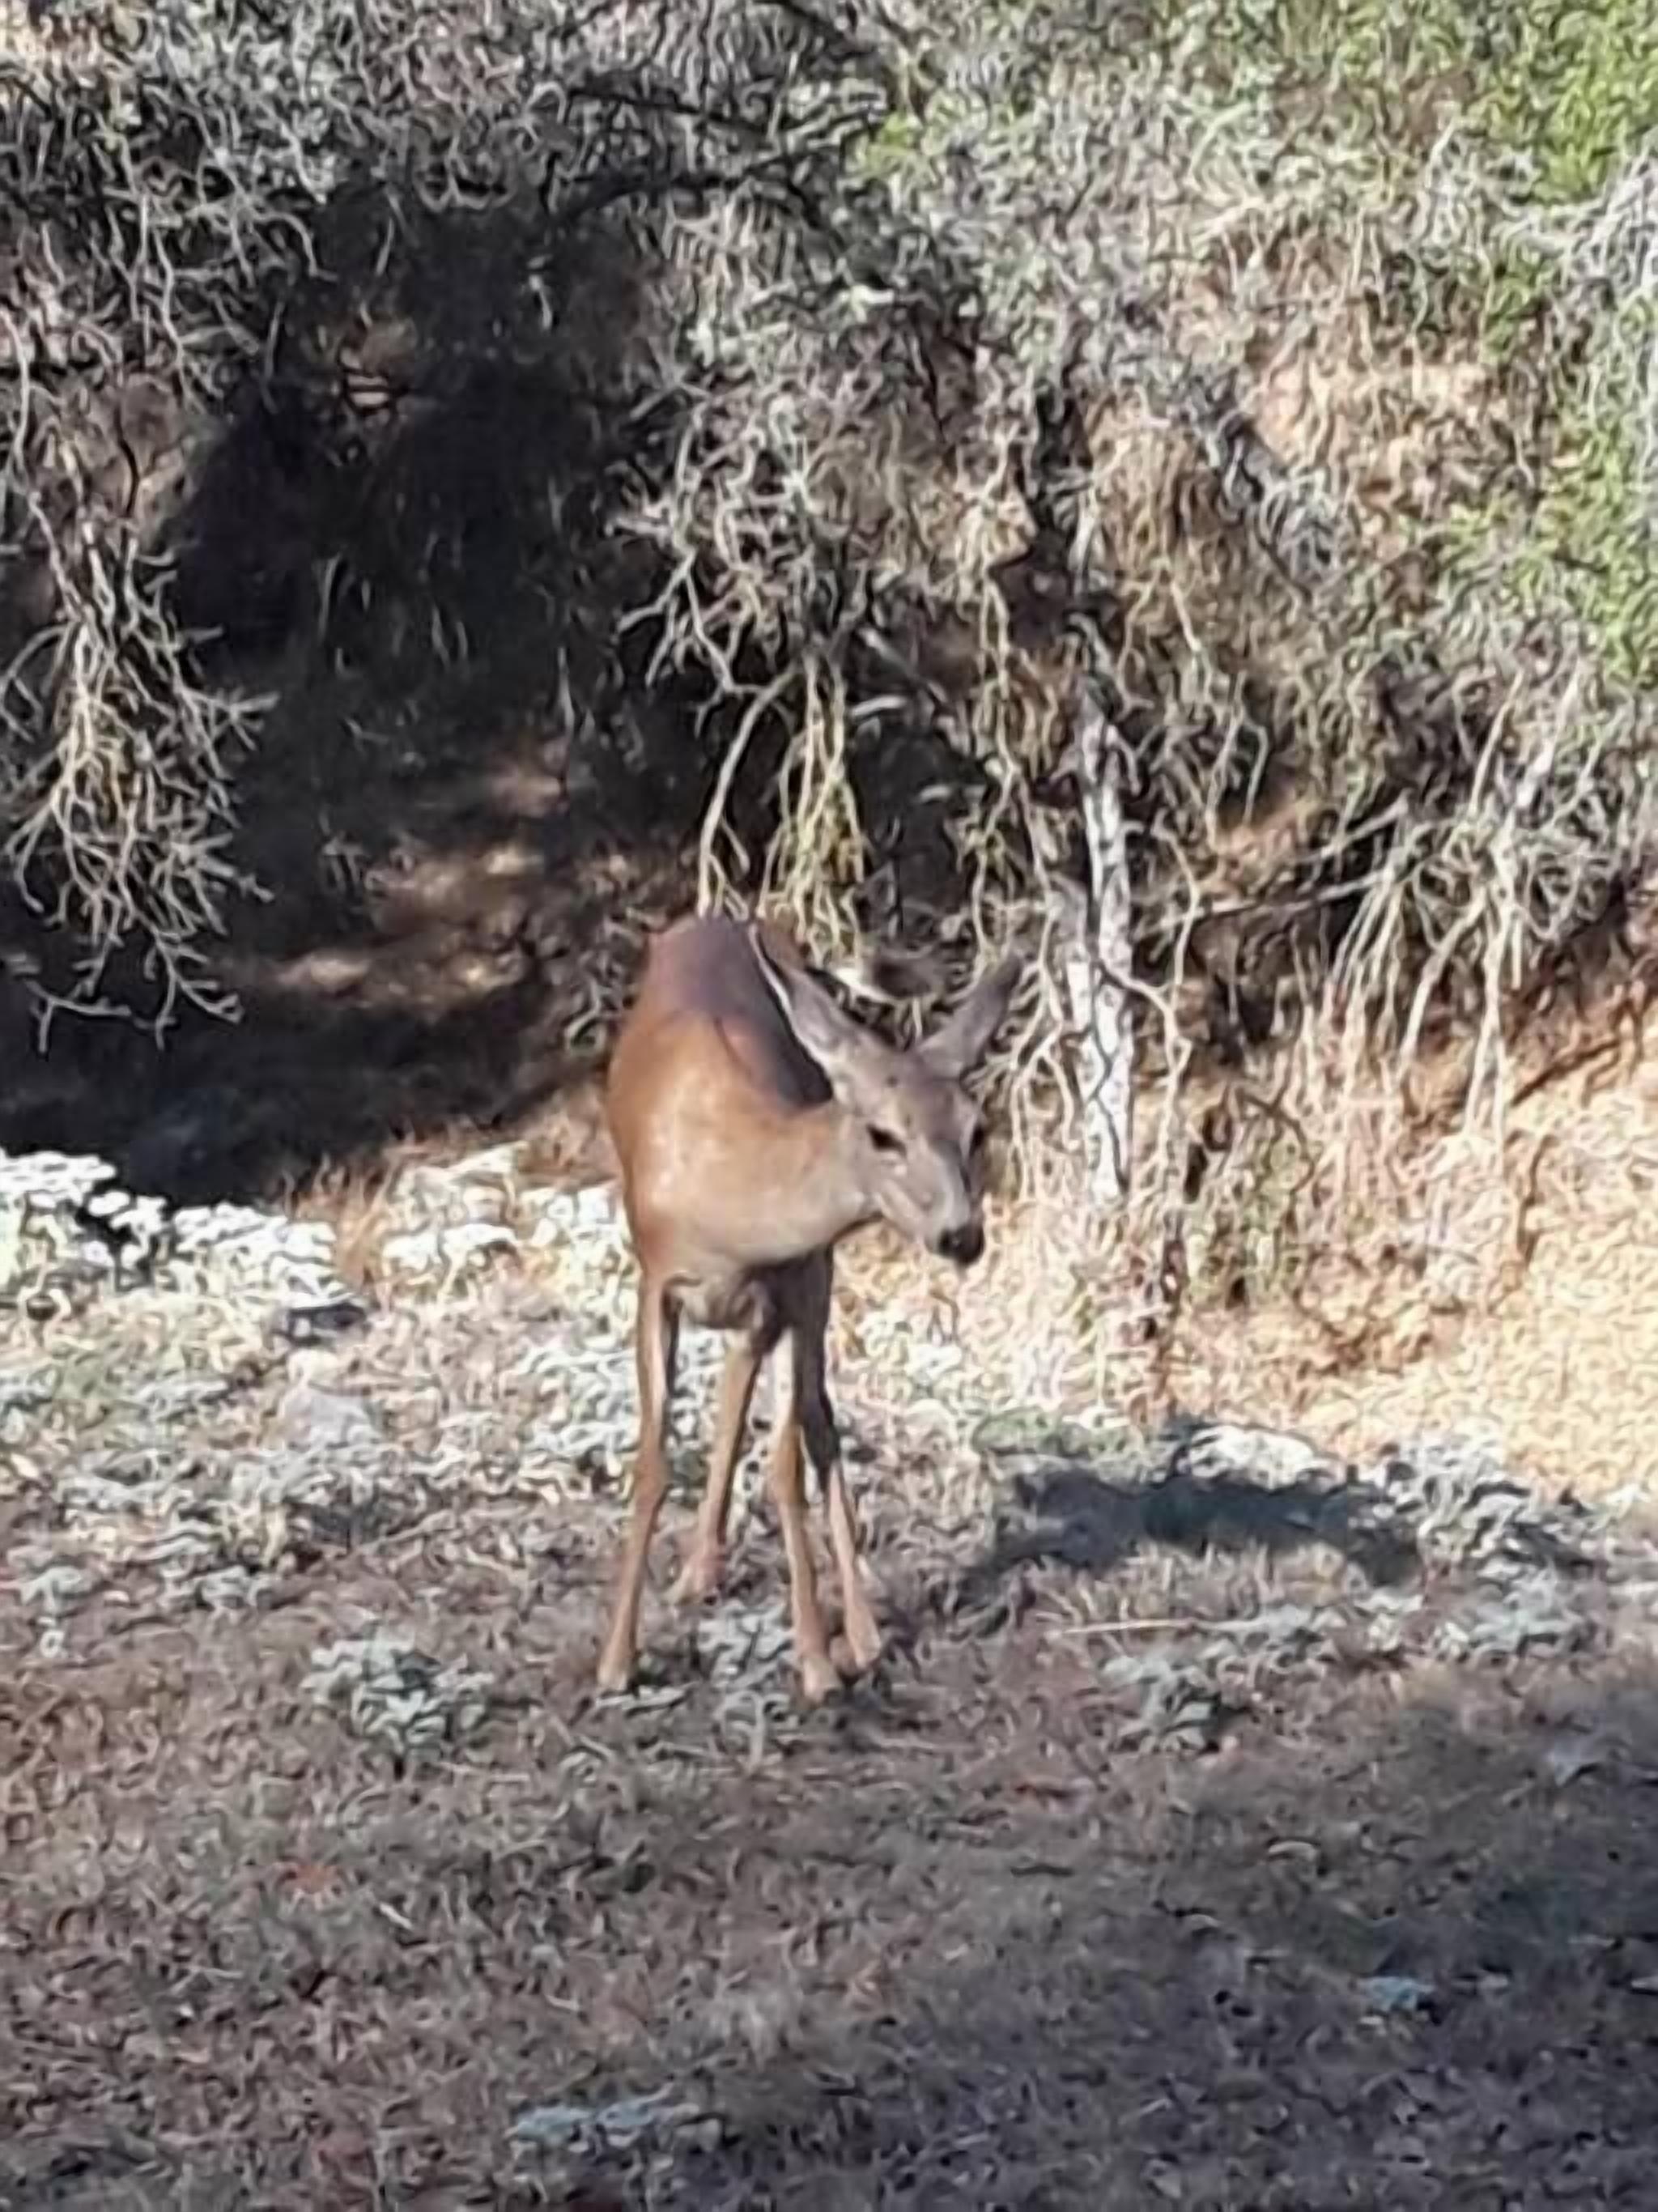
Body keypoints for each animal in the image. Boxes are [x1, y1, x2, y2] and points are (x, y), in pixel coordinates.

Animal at [596, 910, 1022, 1704]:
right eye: (884, 1133)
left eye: (977, 1129)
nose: (963, 1234)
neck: (726, 1192)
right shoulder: (655, 1282)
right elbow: (654, 1462)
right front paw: (615, 1660)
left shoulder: (794, 1283)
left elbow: (790, 1462)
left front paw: (819, 1663)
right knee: (744, 1393)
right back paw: (699, 1573)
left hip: (810, 1284)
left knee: (811, 1418)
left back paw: (858, 1630)